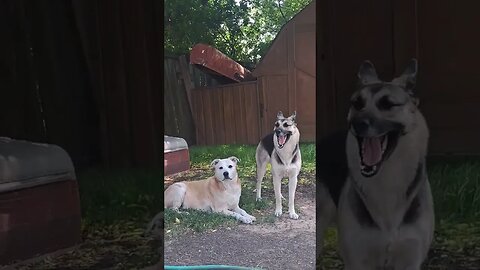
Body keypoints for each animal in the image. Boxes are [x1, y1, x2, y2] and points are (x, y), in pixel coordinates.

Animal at [318, 59, 436, 270]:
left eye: (387, 104)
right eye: (357, 104)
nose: (357, 123)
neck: (387, 179)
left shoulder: (410, 259)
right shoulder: (357, 259)